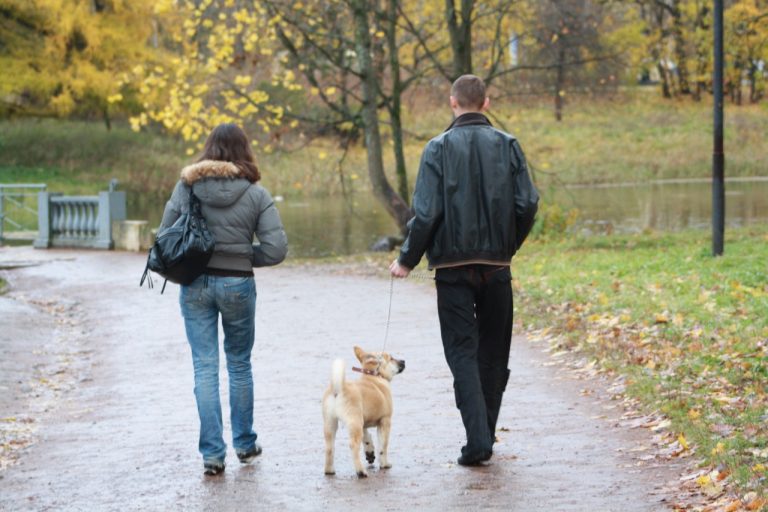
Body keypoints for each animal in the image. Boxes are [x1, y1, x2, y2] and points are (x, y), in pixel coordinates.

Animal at [320, 346, 404, 478]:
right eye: (391, 358)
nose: (404, 361)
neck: (374, 376)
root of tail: (339, 389)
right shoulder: (385, 421)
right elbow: (383, 446)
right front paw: (384, 464)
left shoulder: (363, 423)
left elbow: (367, 437)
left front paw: (370, 452)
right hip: (354, 422)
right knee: (353, 445)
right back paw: (361, 471)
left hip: (331, 423)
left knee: (329, 447)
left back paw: (329, 470)